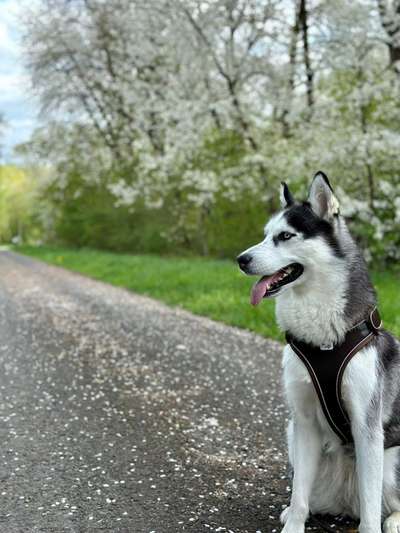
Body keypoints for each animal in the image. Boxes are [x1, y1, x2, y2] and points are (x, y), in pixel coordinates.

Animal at [238, 171, 400, 532]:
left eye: (285, 236)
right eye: (266, 235)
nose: (241, 260)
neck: (325, 342)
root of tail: (346, 505)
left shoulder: (367, 428)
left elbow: (371, 512)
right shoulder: (304, 422)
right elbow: (299, 494)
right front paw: (294, 525)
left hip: (393, 460)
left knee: (383, 505)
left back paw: (394, 520)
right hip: (292, 435)